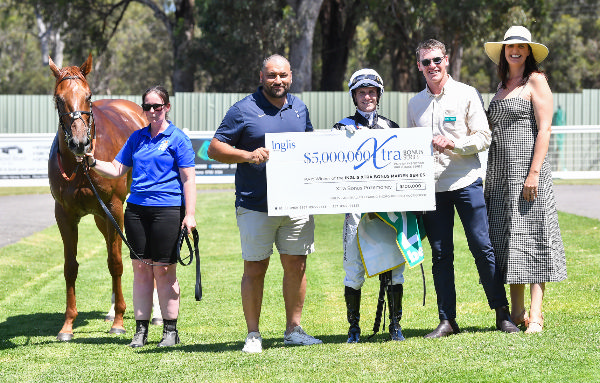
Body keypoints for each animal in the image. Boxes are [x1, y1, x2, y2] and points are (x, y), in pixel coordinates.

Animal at [48, 54, 148, 342]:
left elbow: (115, 262)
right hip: (100, 218)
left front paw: (119, 322)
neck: (80, 165)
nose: (80, 143)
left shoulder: (114, 207)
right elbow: (70, 267)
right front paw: (67, 325)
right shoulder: (64, 214)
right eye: (58, 98)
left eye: (89, 96)